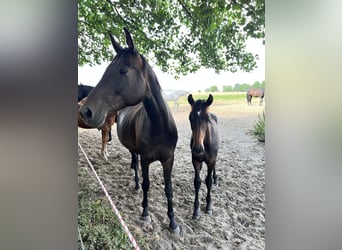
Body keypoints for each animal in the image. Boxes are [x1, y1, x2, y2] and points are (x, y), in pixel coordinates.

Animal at [77, 28, 179, 233]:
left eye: (122, 71)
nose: (86, 111)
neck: (160, 127)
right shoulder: (146, 159)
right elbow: (147, 184)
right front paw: (145, 213)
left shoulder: (168, 159)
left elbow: (169, 189)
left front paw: (173, 222)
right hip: (133, 149)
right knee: (135, 163)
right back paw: (136, 184)